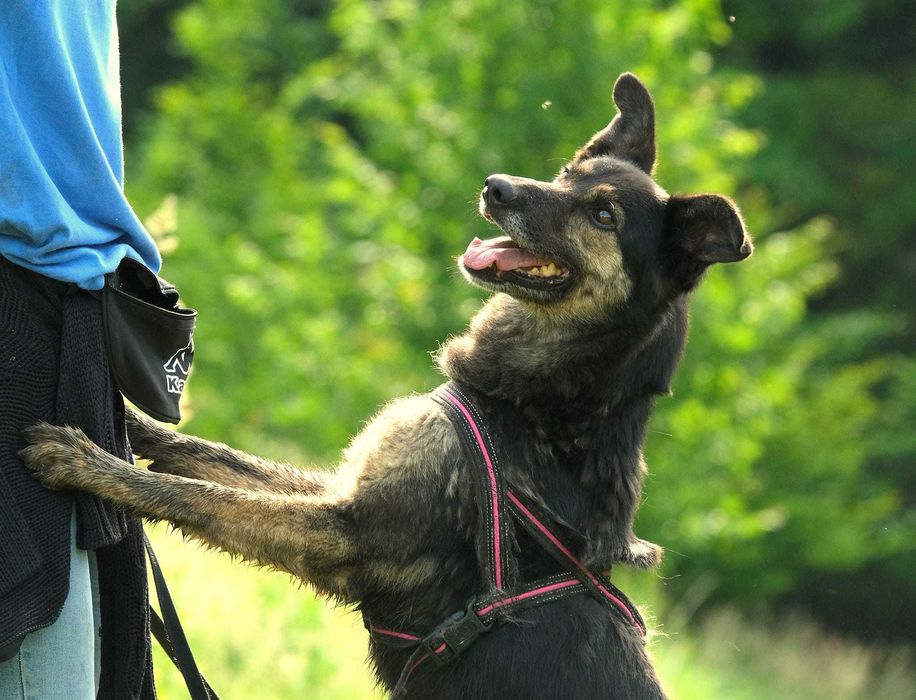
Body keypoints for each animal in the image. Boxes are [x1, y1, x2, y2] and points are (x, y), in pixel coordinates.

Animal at [21, 74, 752, 696]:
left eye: (603, 216)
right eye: (567, 174)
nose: (497, 188)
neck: (528, 405)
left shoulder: (344, 535)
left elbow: (193, 493)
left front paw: (86, 461)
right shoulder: (340, 489)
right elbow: (209, 458)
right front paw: (130, 425)